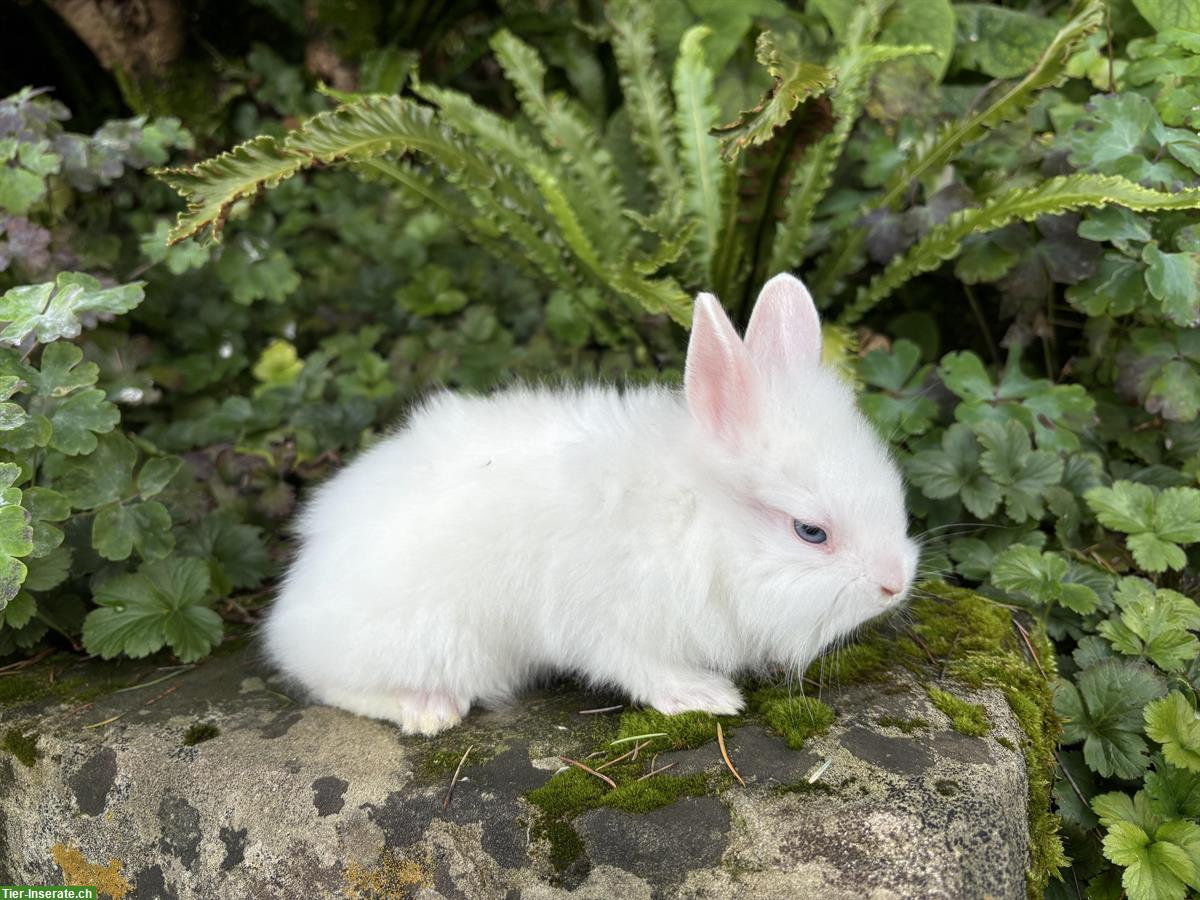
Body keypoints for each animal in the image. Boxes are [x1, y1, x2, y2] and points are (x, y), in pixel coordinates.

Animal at [262, 273, 916, 734]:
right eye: (810, 531)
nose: (895, 584)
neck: (701, 523)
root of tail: (293, 610)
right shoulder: (614, 623)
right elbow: (639, 668)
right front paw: (704, 696)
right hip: (438, 644)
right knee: (333, 685)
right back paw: (428, 709)